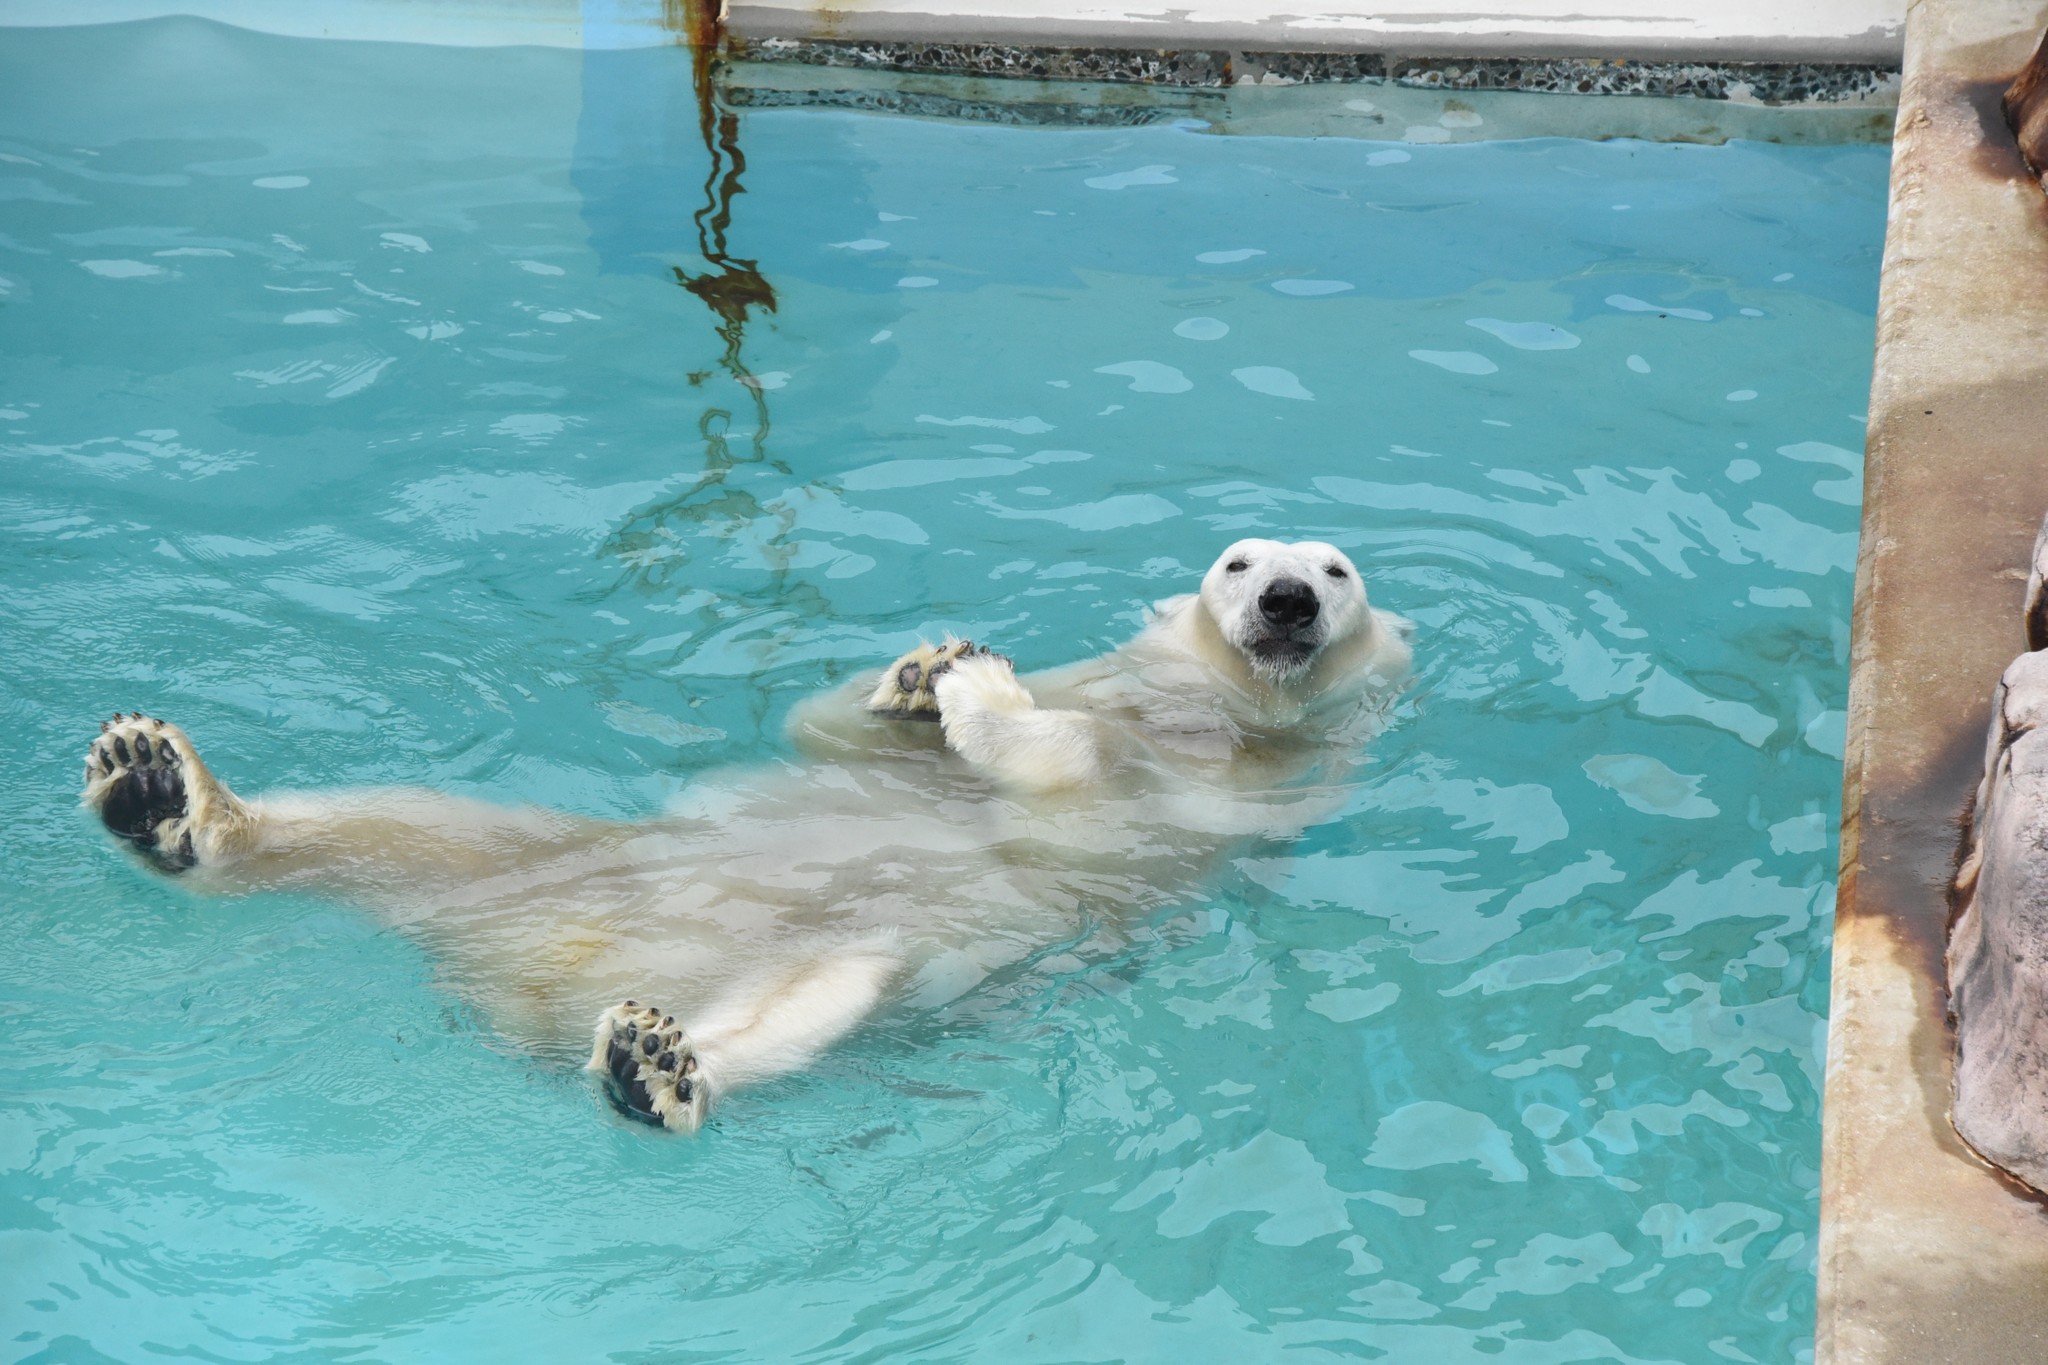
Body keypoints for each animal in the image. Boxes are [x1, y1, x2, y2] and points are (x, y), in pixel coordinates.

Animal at [88, 540, 1417, 1129]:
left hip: (867, 953)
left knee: (801, 1005)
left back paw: (657, 1069)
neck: (1199, 707)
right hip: (546, 852)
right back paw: (161, 792)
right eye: (1235, 560)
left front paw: (977, 689)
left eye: (1336, 570)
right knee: (404, 825)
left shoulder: (1241, 788)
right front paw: (921, 671)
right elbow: (834, 738)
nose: (1282, 598)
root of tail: (511, 982)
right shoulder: (1110, 682)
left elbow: (1077, 777)